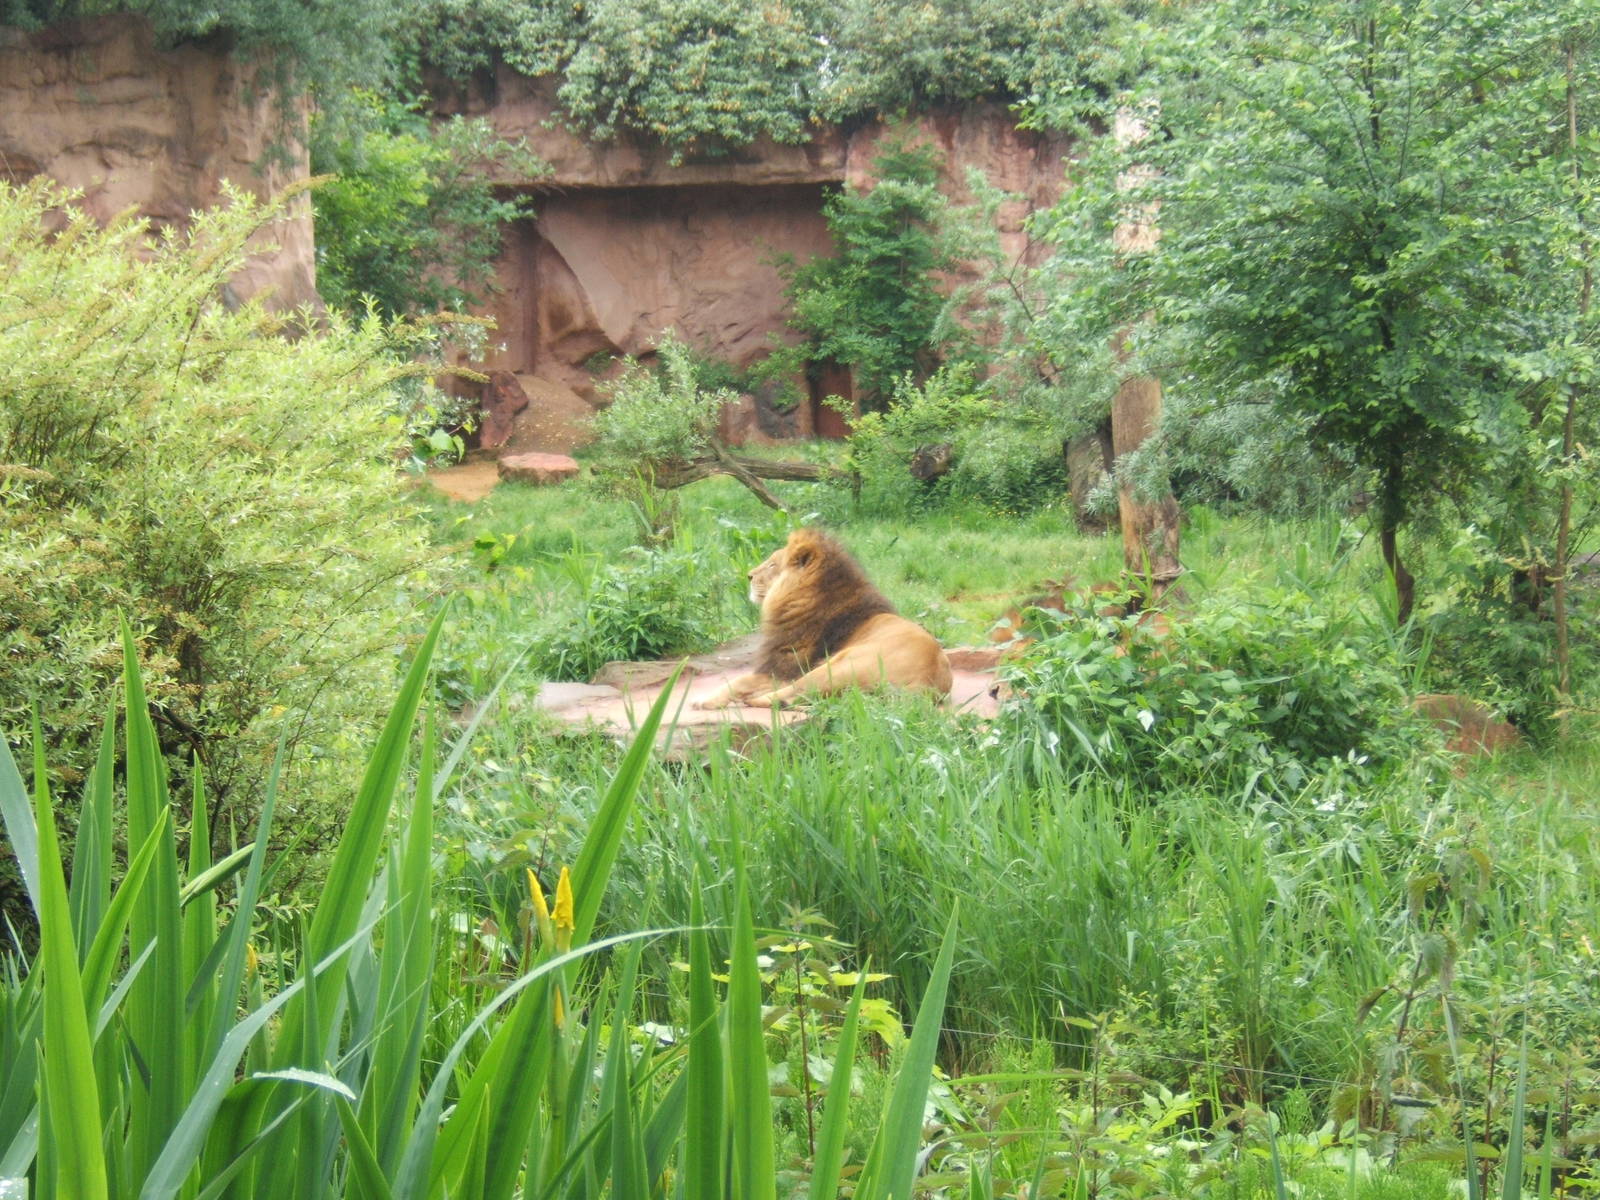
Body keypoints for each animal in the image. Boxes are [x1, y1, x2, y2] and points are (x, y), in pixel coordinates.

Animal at [695, 527, 953, 709]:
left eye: (772, 565)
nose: (748, 576)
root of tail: (927, 683)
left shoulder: (786, 668)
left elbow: (737, 681)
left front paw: (706, 701)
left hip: (835, 666)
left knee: (795, 692)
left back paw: (754, 700)